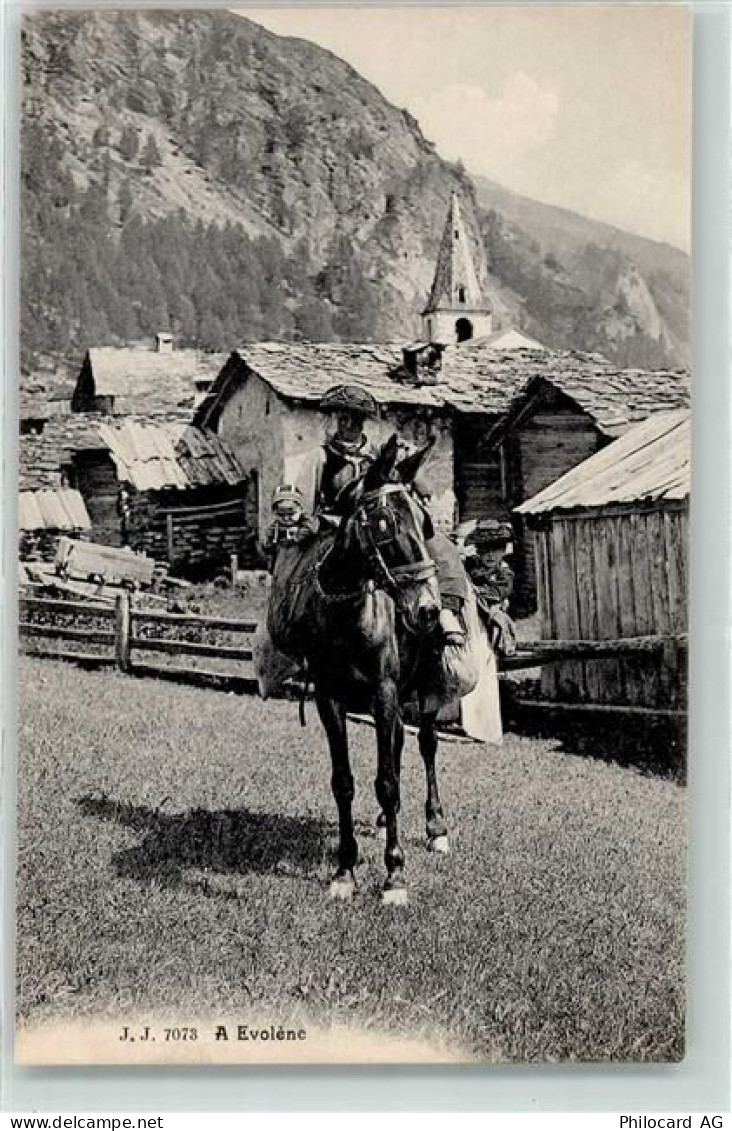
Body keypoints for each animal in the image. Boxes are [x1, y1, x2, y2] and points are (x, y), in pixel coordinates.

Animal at [267, 433, 475, 906]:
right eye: (381, 524)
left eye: (424, 522)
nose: (428, 610)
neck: (348, 619)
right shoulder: (331, 699)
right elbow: (345, 781)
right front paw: (345, 871)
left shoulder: (385, 692)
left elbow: (388, 782)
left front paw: (394, 876)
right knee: (396, 747)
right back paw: (383, 823)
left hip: (422, 691)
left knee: (426, 746)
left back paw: (435, 827)